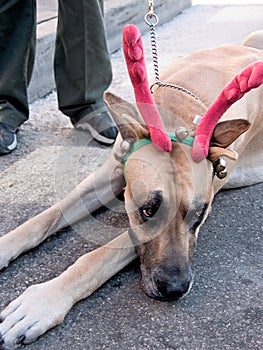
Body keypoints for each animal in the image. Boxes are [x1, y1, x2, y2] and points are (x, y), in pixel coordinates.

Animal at [0, 28, 263, 350]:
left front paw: (42, 301)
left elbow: (97, 257)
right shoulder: (109, 175)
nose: (175, 289)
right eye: (148, 210)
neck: (177, 112)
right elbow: (44, 218)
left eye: (200, 215)